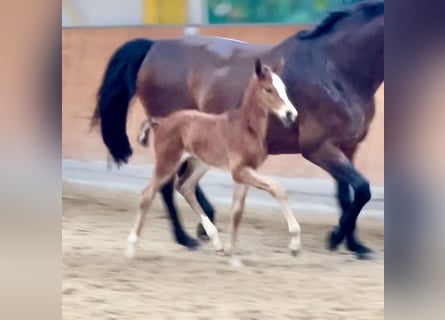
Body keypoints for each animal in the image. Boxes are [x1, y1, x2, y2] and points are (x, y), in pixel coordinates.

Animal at [125, 58, 298, 258]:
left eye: (283, 88)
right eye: (268, 89)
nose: (290, 114)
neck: (247, 128)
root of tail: (161, 122)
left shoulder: (246, 172)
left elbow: (237, 211)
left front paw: (231, 251)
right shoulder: (239, 171)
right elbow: (277, 188)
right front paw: (295, 243)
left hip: (199, 163)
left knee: (185, 187)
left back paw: (216, 242)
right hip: (167, 161)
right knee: (148, 194)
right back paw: (131, 247)